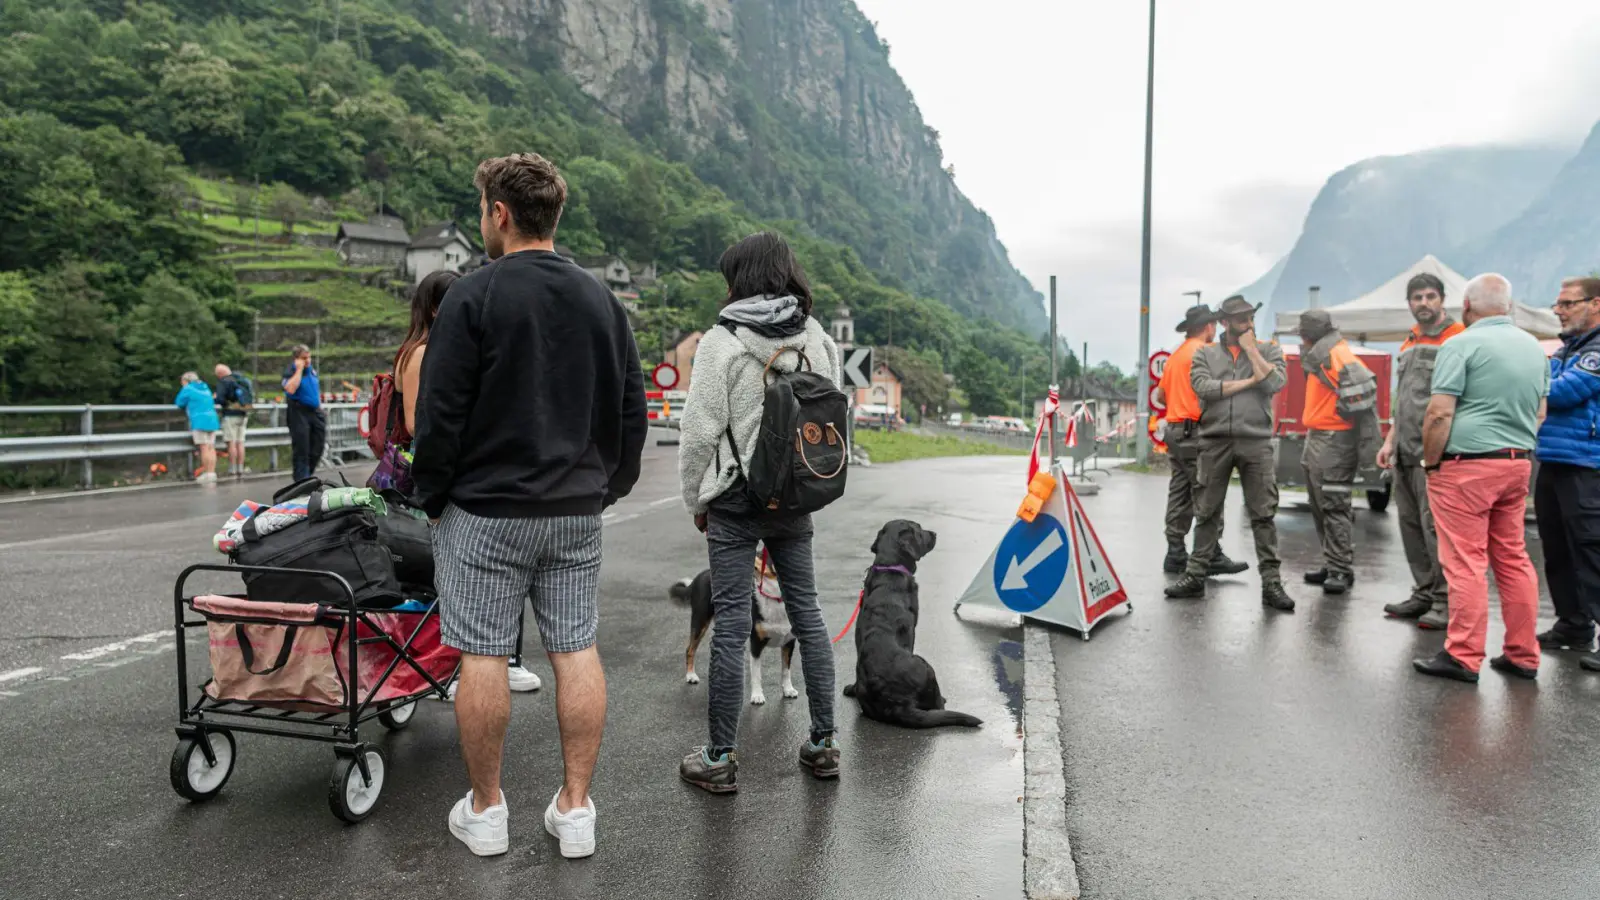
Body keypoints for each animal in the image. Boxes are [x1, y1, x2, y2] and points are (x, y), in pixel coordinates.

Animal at [665, 550, 796, 704]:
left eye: (760, 554)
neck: (775, 598)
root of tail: (700, 576)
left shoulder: (789, 643)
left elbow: (786, 670)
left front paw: (788, 690)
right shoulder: (756, 644)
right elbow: (756, 674)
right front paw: (757, 696)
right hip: (700, 621)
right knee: (690, 649)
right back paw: (691, 676)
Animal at [844, 522, 979, 723]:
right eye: (919, 530)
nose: (934, 533)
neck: (890, 566)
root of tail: (896, 705)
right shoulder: (913, 630)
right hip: (926, 666)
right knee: (937, 705)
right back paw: (943, 701)